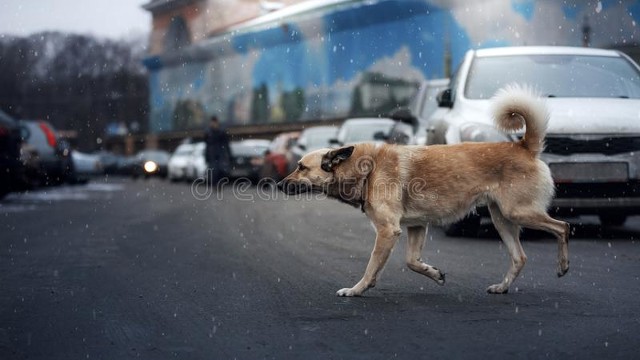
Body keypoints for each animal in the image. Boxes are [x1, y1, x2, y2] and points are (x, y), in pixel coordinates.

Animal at [278, 86, 568, 296]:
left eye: (301, 167)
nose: (278, 185)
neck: (367, 169)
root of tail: (523, 146)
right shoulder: (416, 227)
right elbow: (411, 262)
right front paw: (435, 274)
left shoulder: (388, 231)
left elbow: (372, 265)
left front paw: (356, 290)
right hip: (502, 220)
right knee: (520, 257)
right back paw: (502, 287)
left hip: (518, 212)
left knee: (562, 226)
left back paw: (563, 266)